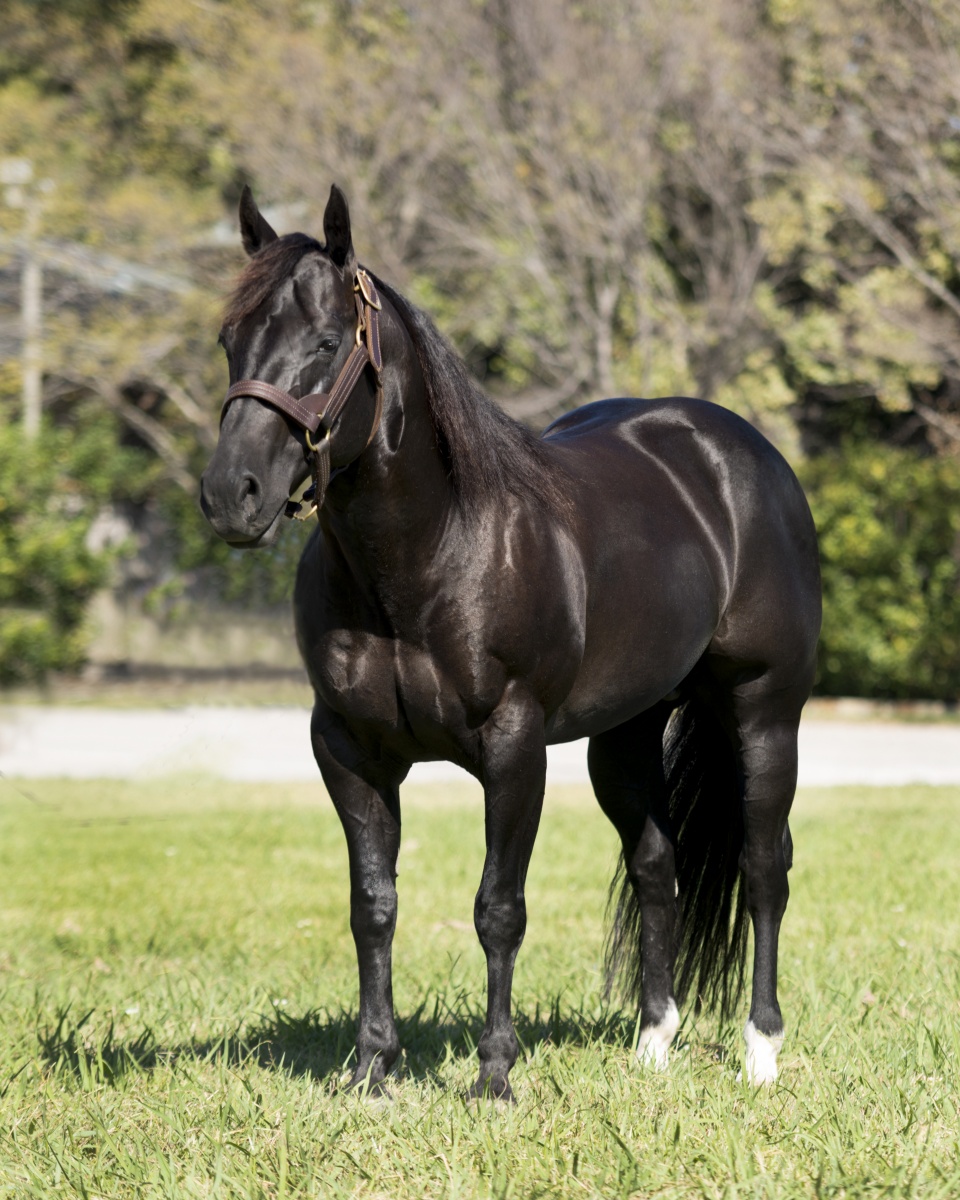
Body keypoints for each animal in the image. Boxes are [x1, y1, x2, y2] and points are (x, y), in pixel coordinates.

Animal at [199, 184, 820, 1099]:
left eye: (324, 342)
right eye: (230, 341)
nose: (229, 495)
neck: (431, 554)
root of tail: (740, 455)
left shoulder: (513, 748)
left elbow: (499, 908)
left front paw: (495, 1073)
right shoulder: (347, 749)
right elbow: (372, 905)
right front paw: (372, 1068)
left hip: (765, 712)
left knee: (763, 867)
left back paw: (761, 1052)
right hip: (623, 738)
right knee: (657, 869)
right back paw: (651, 1046)